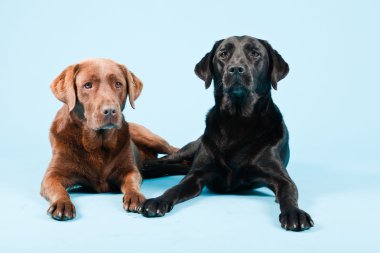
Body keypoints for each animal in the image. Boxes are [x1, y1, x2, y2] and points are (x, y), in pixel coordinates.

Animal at [40, 58, 177, 220]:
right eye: (88, 85)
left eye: (118, 84)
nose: (110, 110)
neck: (97, 144)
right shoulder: (52, 175)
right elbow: (58, 189)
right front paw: (62, 203)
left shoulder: (129, 170)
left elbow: (132, 183)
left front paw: (135, 197)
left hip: (152, 139)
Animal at [141, 35, 314, 231]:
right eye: (223, 54)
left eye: (255, 53)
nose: (236, 69)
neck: (237, 121)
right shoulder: (196, 175)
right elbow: (175, 188)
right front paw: (158, 200)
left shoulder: (282, 179)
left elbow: (288, 194)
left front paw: (294, 213)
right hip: (193, 147)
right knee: (169, 159)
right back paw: (147, 166)